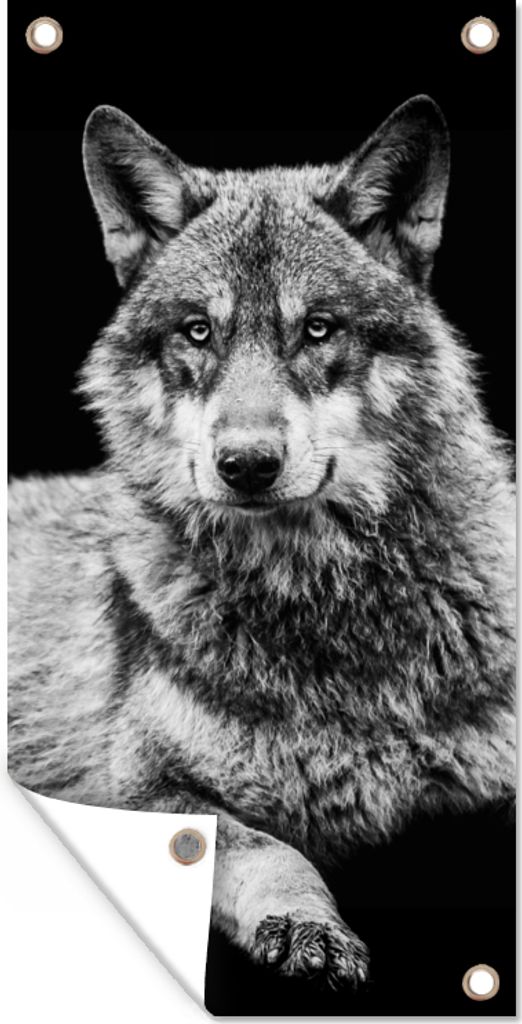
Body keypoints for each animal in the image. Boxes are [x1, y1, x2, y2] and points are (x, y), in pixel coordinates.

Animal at [8, 96, 515, 988]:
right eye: (198, 332)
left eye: (316, 329)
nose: (245, 465)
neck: (323, 608)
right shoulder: (131, 791)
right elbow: (266, 847)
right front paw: (308, 925)